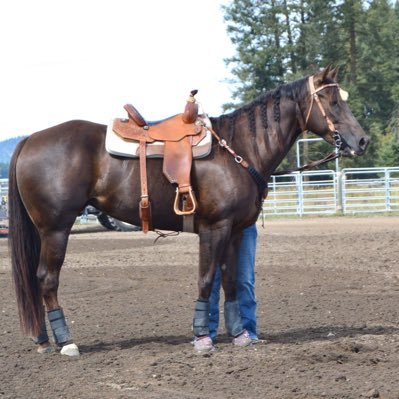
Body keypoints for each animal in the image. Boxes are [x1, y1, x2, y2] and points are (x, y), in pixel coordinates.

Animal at [7, 66, 368, 356]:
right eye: (333, 101)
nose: (362, 141)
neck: (238, 149)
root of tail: (28, 140)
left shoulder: (234, 231)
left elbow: (230, 281)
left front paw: (239, 335)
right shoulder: (214, 228)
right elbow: (206, 280)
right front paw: (202, 338)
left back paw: (43, 339)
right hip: (56, 230)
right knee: (47, 279)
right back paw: (66, 341)